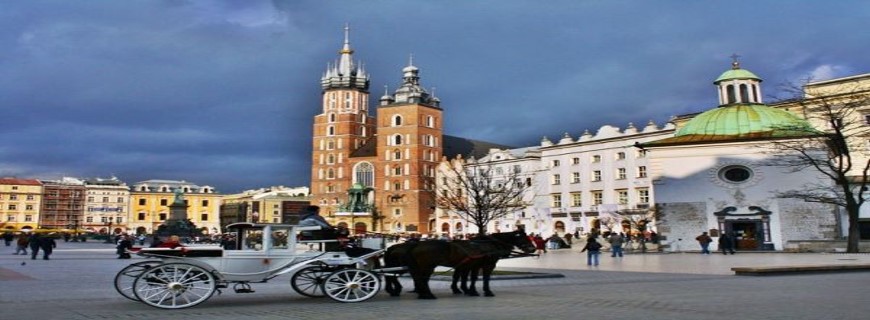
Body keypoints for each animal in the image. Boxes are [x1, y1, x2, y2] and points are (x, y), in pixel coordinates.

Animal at [384, 230, 540, 300]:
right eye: (525, 237)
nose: (533, 249)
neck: (488, 245)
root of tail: (415, 245)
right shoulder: (487, 265)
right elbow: (483, 278)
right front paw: (486, 291)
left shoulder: (471, 265)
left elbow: (466, 278)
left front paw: (468, 290)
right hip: (428, 266)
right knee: (420, 279)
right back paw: (426, 294)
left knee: (407, 278)